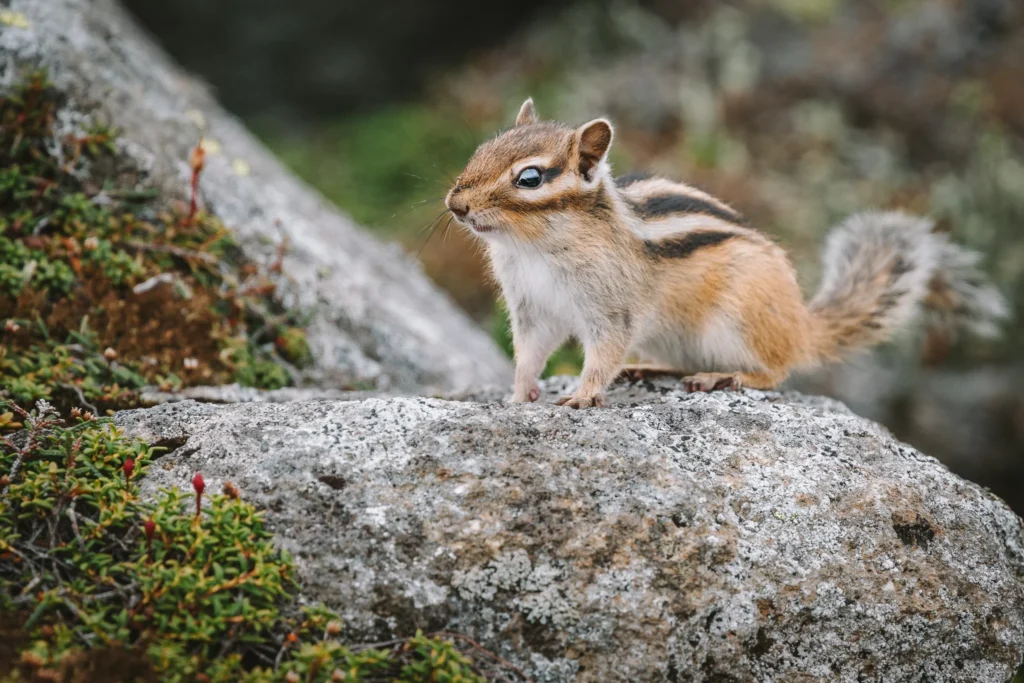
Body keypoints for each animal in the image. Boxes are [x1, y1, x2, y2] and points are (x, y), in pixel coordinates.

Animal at [445, 98, 1008, 408]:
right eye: (481, 149)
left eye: (530, 178)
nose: (455, 204)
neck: (533, 248)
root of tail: (802, 325)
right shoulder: (531, 307)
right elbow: (529, 353)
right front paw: (517, 394)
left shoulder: (611, 306)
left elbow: (603, 351)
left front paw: (583, 393)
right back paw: (652, 370)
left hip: (740, 317)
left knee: (776, 370)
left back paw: (725, 375)